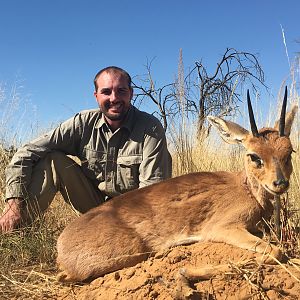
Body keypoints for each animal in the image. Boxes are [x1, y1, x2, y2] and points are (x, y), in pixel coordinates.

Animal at [56, 88, 298, 282]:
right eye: (254, 156)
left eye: (289, 152)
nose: (280, 183)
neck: (248, 190)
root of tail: (61, 244)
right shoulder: (223, 228)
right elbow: (275, 252)